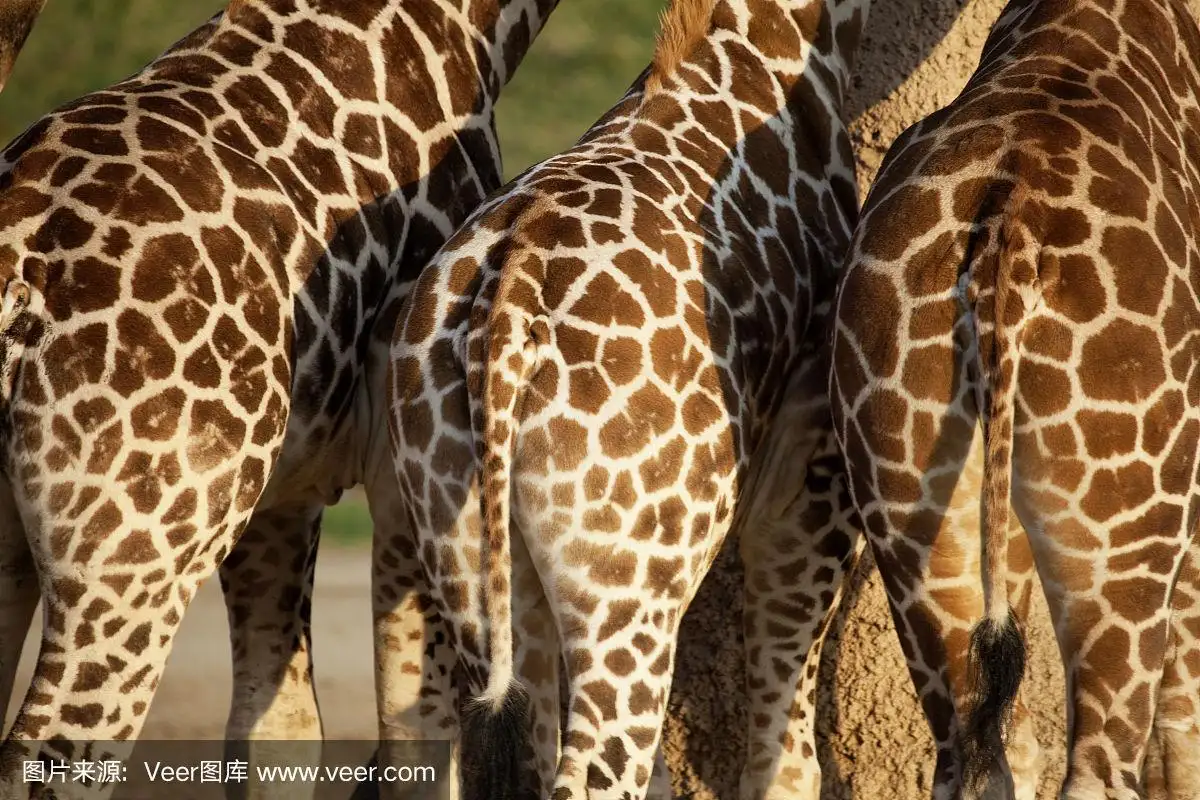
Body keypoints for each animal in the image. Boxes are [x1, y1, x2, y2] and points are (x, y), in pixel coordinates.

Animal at [0, 3, 561, 796]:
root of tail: (19, 277)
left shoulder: (278, 498)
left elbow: (277, 732)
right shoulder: (408, 471)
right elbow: (419, 740)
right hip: (131, 564)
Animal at [386, 0, 873, 796]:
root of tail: (505, 308)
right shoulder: (809, 490)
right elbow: (785, 748)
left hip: (471, 565)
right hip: (627, 597)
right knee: (596, 768)